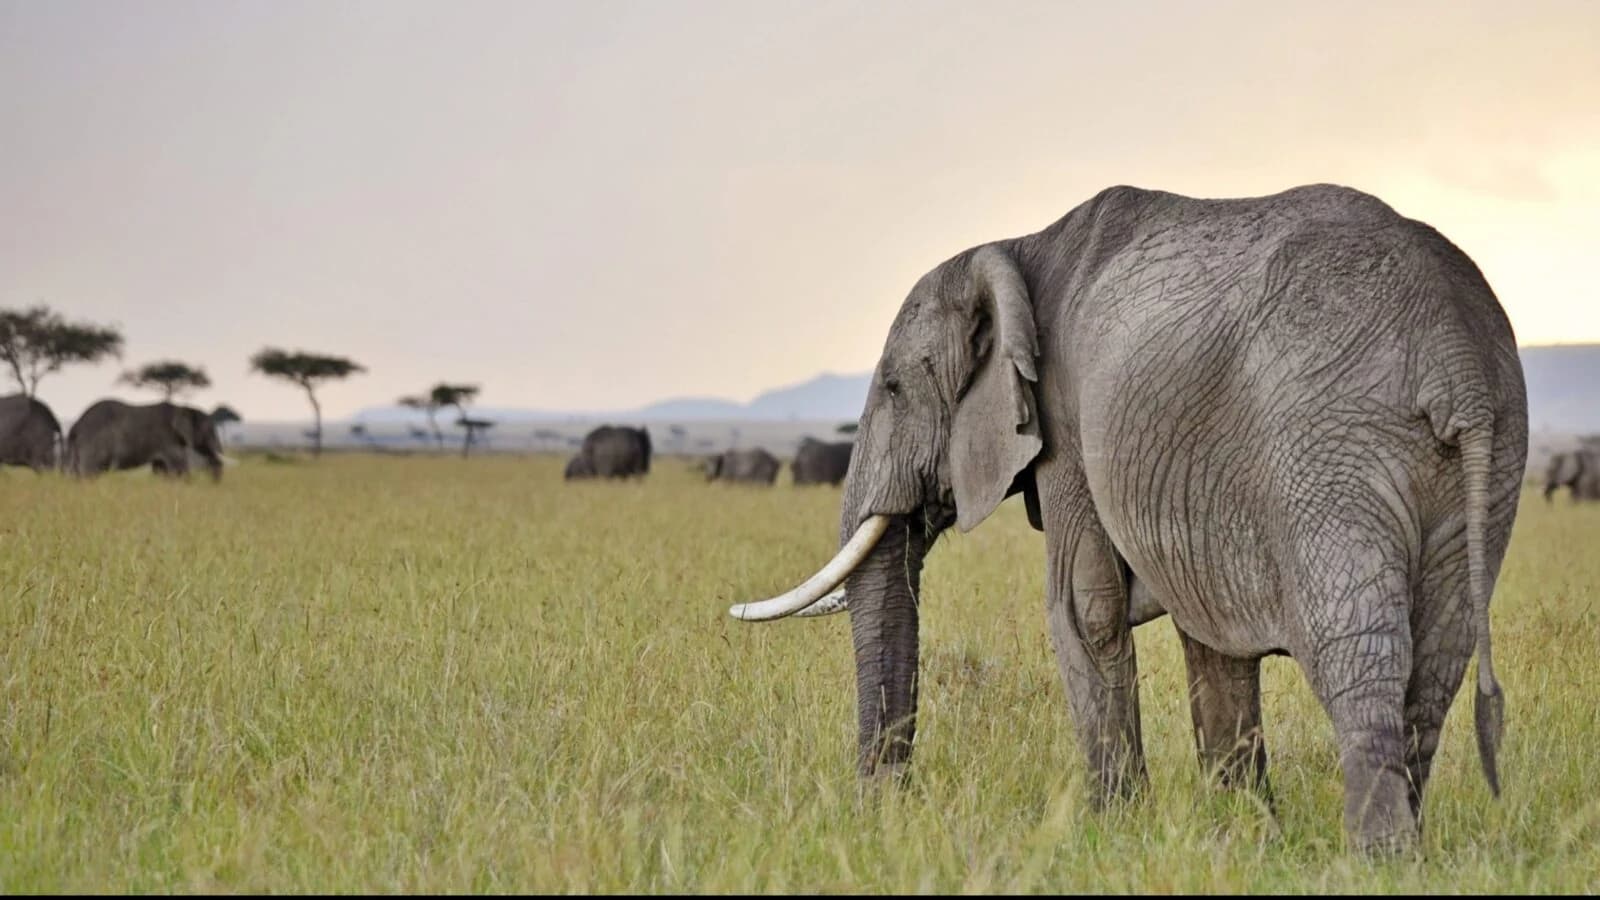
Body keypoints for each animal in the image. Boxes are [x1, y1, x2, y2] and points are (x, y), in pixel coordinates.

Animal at [67, 399, 226, 481]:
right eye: (209, 430)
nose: (214, 486)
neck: (182, 407)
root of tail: (76, 425)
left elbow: (161, 468)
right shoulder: (167, 439)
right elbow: (178, 466)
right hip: (93, 443)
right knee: (90, 471)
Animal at [727, 184, 1527, 854]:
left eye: (893, 387)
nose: (884, 814)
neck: (1018, 246)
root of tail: (1453, 354)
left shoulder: (1070, 421)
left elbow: (1082, 611)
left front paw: (1108, 834)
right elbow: (1208, 630)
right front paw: (1241, 841)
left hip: (1331, 443)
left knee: (1357, 648)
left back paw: (1378, 859)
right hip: (1486, 462)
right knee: (1439, 657)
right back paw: (1406, 847)